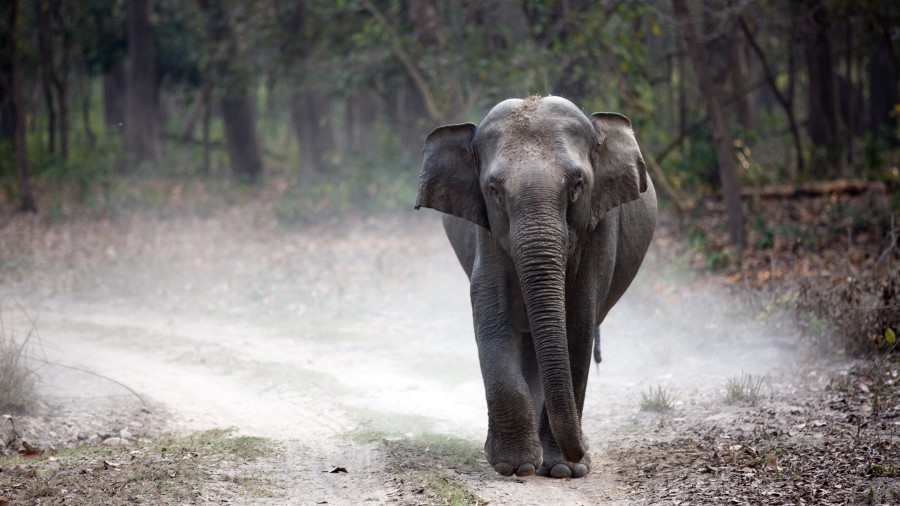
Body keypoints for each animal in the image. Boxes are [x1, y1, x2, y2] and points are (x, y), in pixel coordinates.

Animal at [414, 95, 652, 478]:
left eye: (577, 186)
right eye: (494, 191)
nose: (581, 451)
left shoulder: (599, 229)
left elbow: (577, 327)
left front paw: (564, 470)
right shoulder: (487, 232)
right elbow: (492, 319)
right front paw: (517, 466)